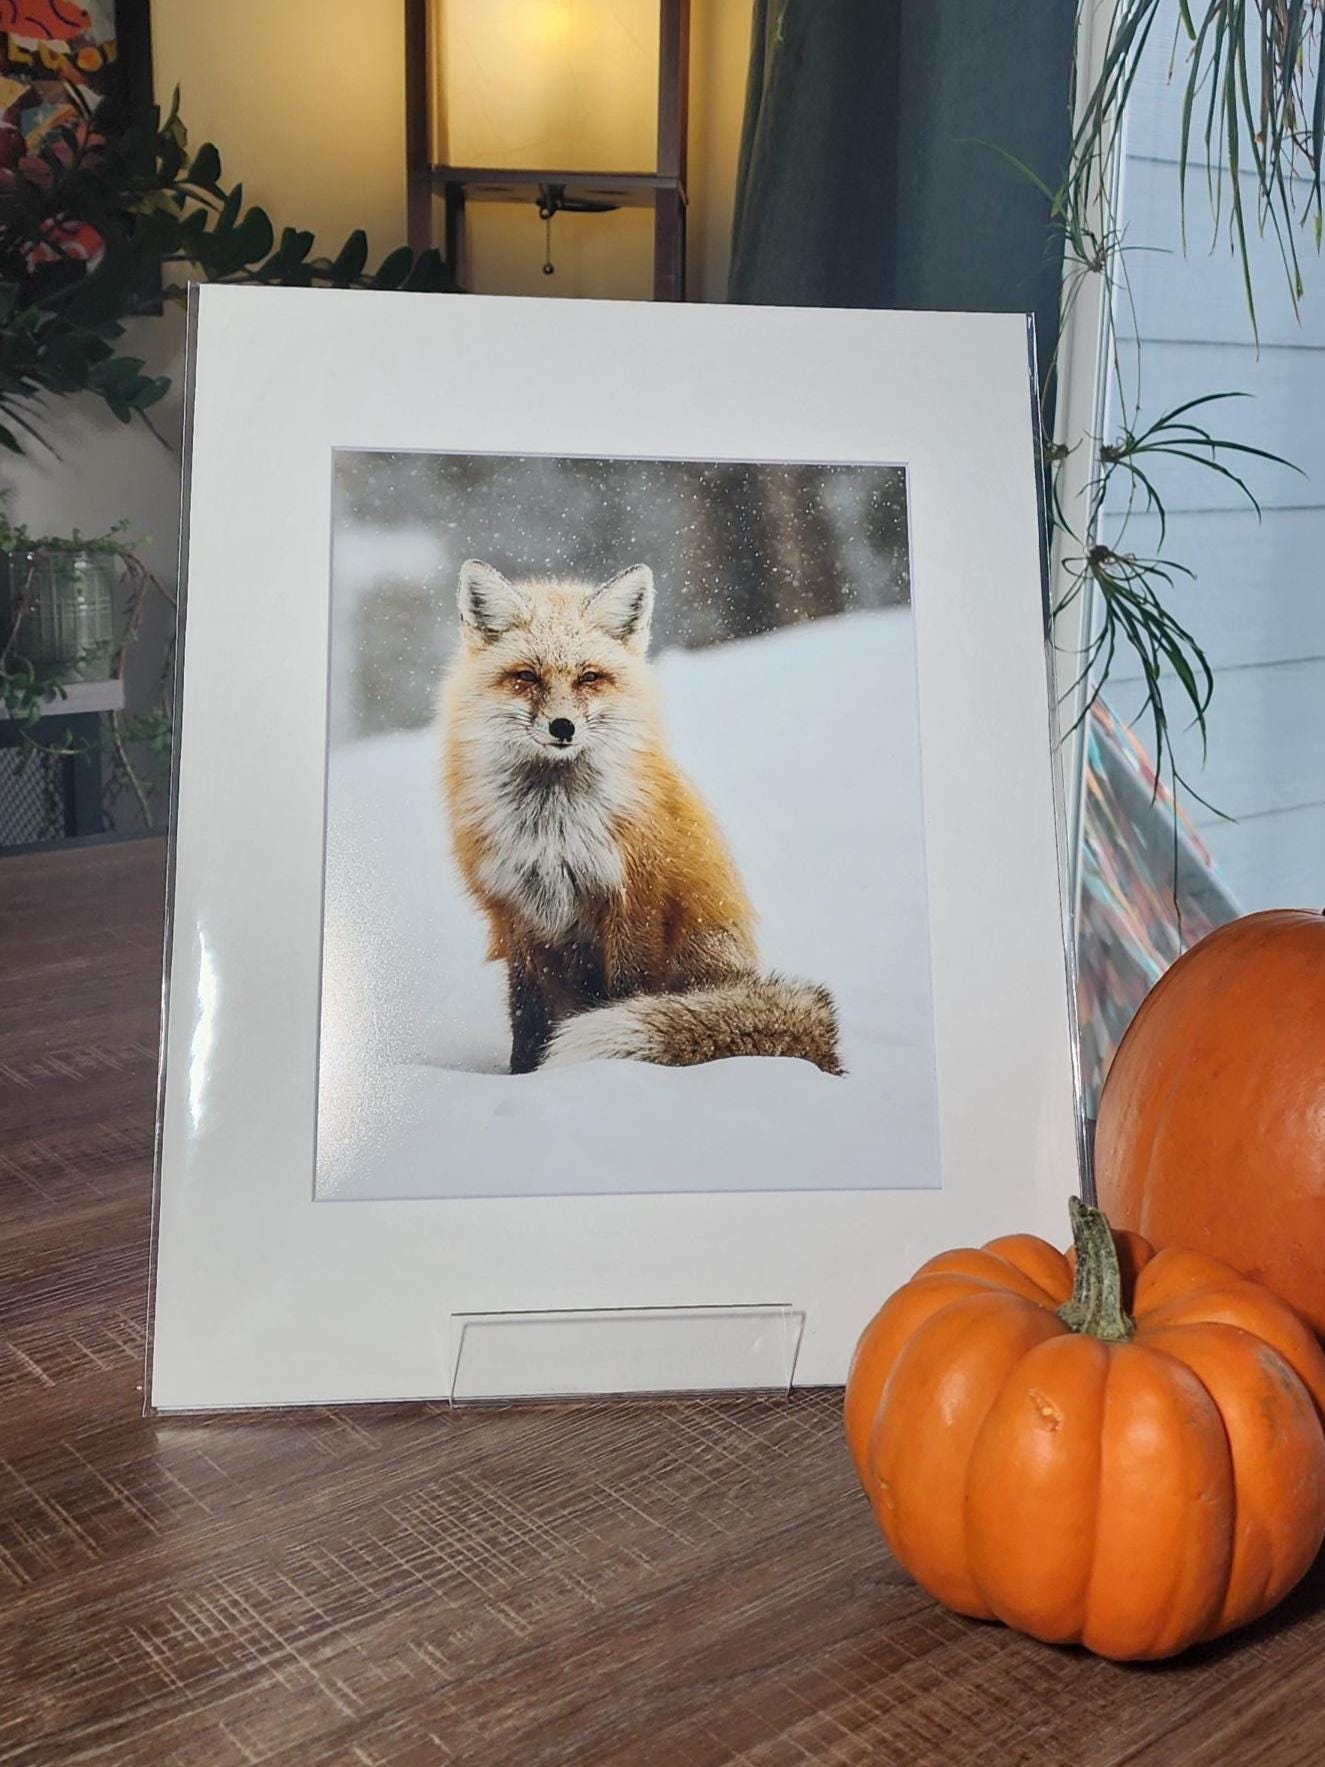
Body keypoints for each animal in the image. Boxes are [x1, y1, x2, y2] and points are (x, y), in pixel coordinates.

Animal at [438, 558, 842, 1078]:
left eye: (589, 677)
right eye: (526, 676)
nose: (563, 727)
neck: (555, 826)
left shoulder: (636, 900)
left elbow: (628, 992)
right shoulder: (516, 911)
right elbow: (526, 1013)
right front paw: (524, 1076)